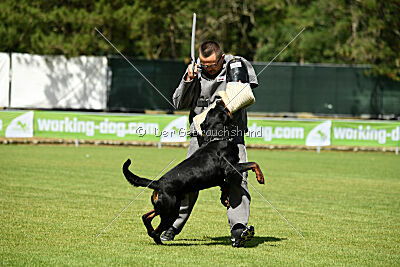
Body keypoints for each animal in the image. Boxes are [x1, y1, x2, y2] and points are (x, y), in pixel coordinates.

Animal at [123, 102, 264, 245]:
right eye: (223, 109)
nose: (219, 101)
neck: (218, 137)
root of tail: (158, 183)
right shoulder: (230, 168)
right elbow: (253, 163)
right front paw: (260, 177)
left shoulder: (220, 178)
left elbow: (225, 186)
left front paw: (224, 199)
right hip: (170, 211)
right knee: (156, 229)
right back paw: (159, 240)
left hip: (163, 207)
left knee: (146, 216)